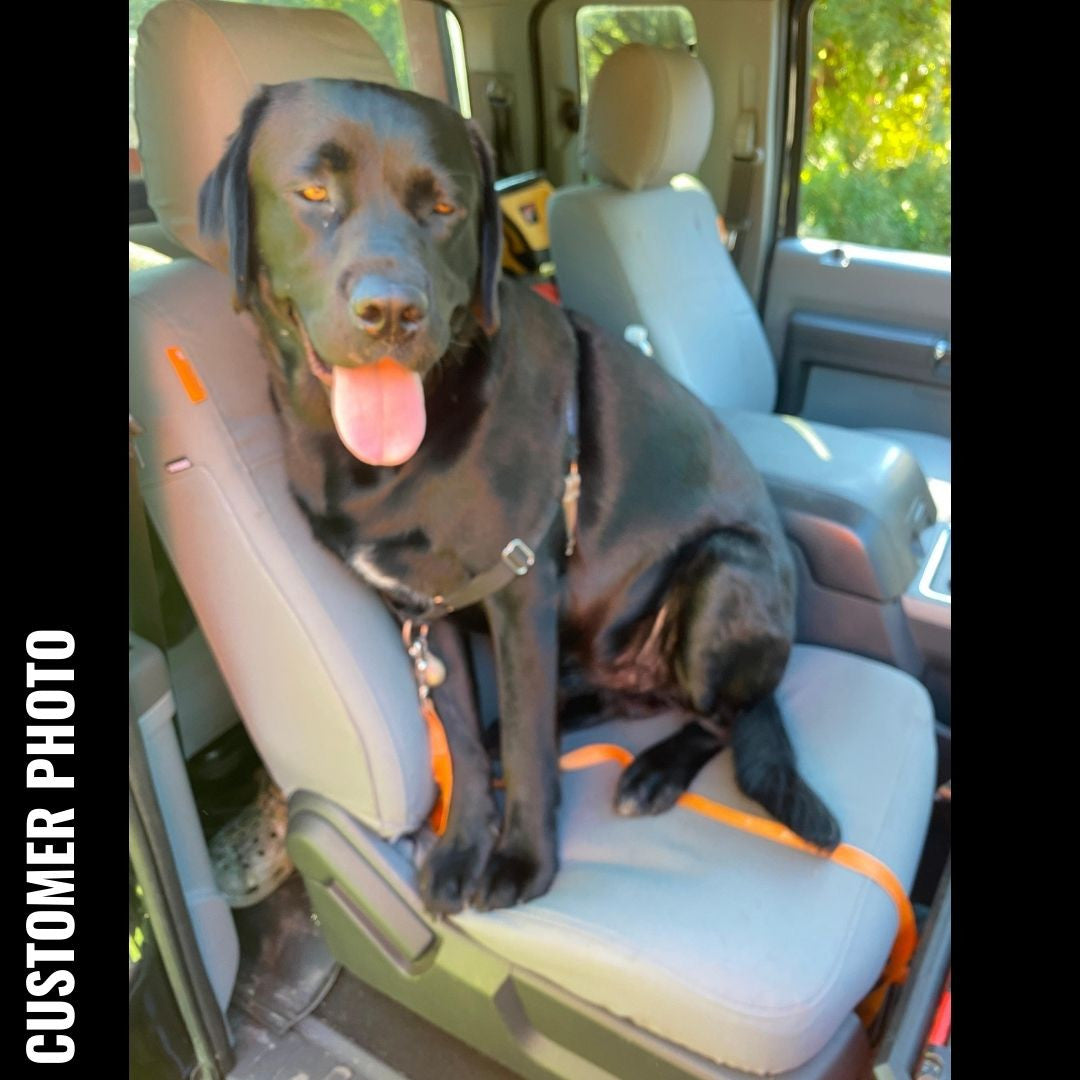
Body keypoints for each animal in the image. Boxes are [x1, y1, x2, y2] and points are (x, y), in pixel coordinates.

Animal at [200, 79, 842, 915]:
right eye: (312, 193)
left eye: (443, 207)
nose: (392, 313)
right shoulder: (424, 615)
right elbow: (465, 746)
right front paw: (463, 846)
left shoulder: (521, 589)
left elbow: (534, 753)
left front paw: (523, 861)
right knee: (620, 701)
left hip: (727, 568)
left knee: (719, 716)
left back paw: (653, 771)